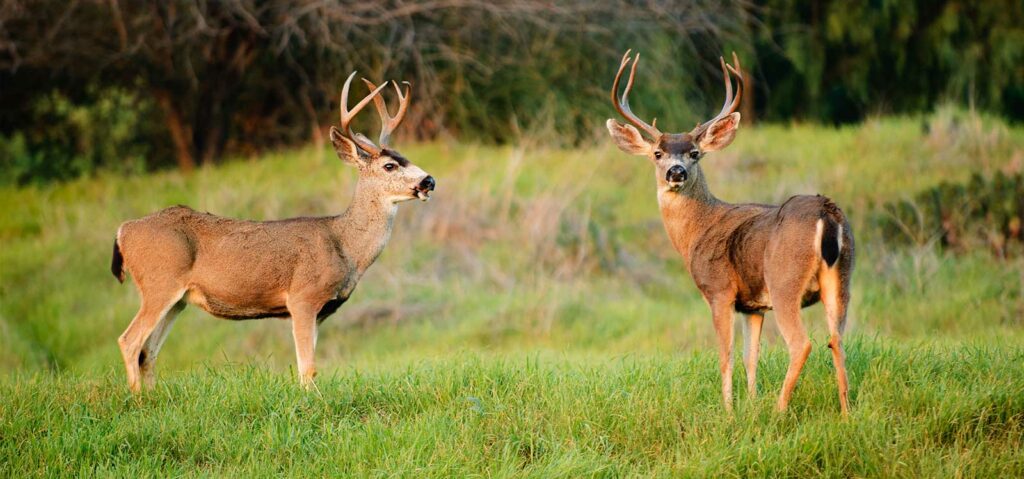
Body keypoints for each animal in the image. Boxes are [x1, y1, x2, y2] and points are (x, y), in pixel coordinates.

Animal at [110, 73, 434, 390]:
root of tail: (123, 231)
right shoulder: (303, 296)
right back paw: (138, 399)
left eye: (405, 157)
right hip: (160, 282)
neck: (344, 245)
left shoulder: (321, 311)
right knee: (129, 341)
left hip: (177, 300)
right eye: (389, 166)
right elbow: (308, 369)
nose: (429, 180)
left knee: (148, 352)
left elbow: (308, 367)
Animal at [606, 50, 856, 413]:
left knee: (802, 343)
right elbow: (751, 356)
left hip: (784, 279)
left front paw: (729, 411)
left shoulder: (719, 290)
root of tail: (828, 212)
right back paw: (847, 413)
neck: (697, 231)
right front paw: (750, 405)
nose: (676, 172)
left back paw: (779, 411)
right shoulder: (753, 305)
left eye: (695, 153)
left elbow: (726, 356)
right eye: (657, 153)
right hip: (842, 276)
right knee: (837, 339)